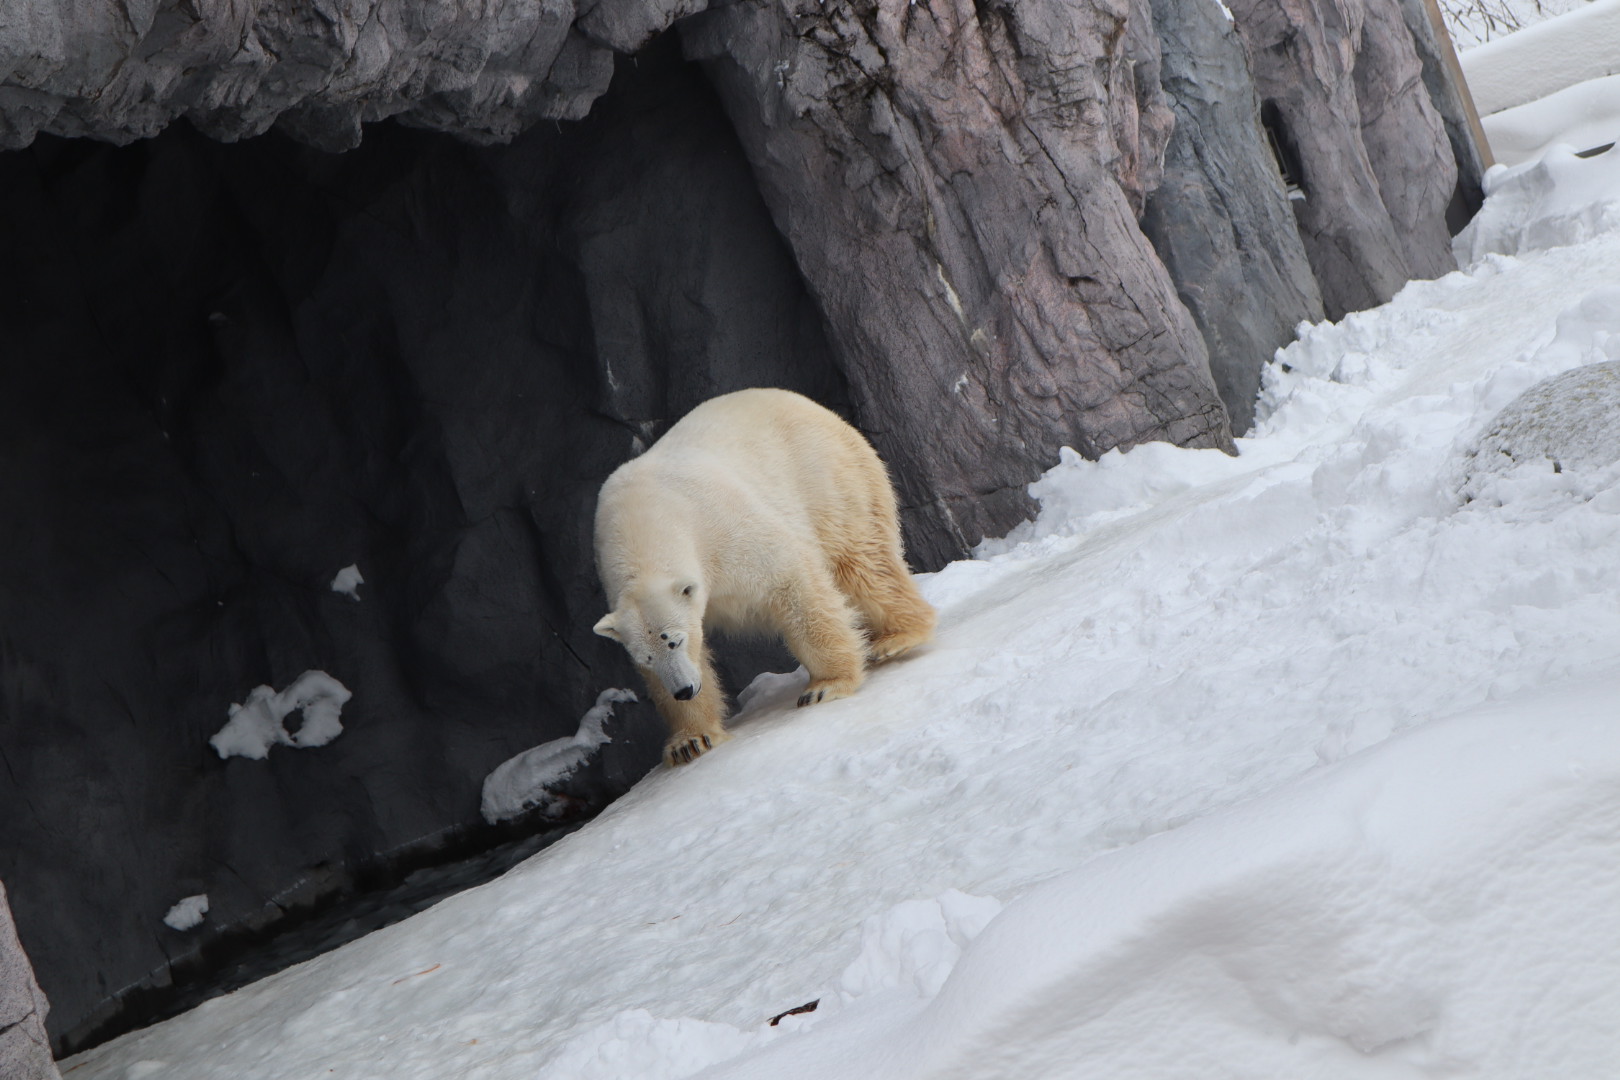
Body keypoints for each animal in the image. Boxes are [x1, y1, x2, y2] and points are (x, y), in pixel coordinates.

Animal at [592, 388, 939, 767]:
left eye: (676, 641)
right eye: (647, 658)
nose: (684, 690)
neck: (641, 520)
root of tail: (813, 406)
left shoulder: (721, 527)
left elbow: (789, 580)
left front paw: (826, 685)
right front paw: (690, 741)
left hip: (827, 477)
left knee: (862, 561)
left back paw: (898, 636)